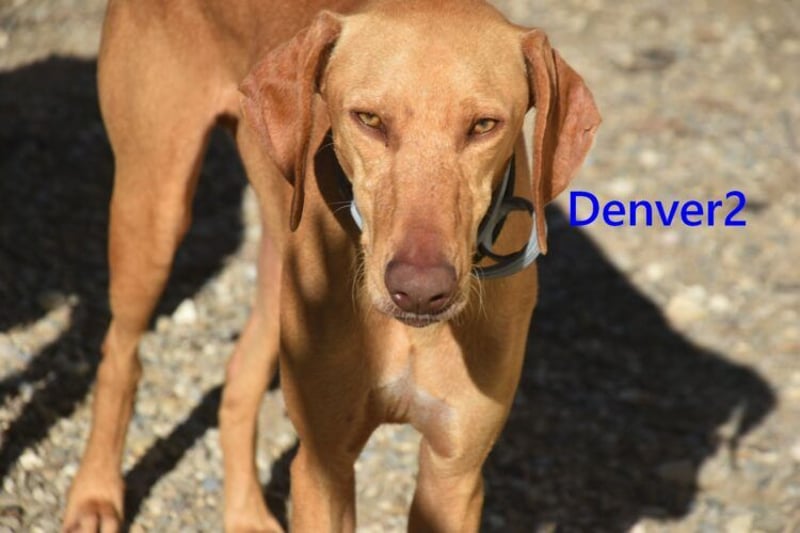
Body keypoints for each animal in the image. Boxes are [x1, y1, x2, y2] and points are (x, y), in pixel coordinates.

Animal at [63, 0, 600, 531]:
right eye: (369, 119)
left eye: (484, 125)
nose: (420, 291)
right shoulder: (324, 464)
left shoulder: (453, 476)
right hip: (154, 212)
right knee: (120, 358)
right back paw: (95, 494)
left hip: (280, 269)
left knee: (238, 379)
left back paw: (245, 514)